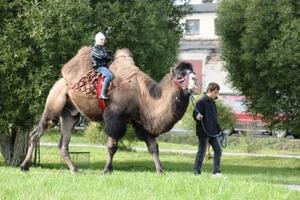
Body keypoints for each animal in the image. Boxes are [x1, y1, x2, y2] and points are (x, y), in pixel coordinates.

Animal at [19, 47, 196, 173]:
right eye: (180, 76)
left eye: (192, 72)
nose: (195, 83)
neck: (143, 96)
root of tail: (59, 82)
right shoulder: (115, 116)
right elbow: (112, 146)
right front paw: (107, 169)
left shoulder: (139, 120)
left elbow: (153, 146)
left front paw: (160, 170)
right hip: (54, 104)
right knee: (37, 132)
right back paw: (24, 166)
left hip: (71, 114)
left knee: (63, 143)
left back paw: (74, 169)